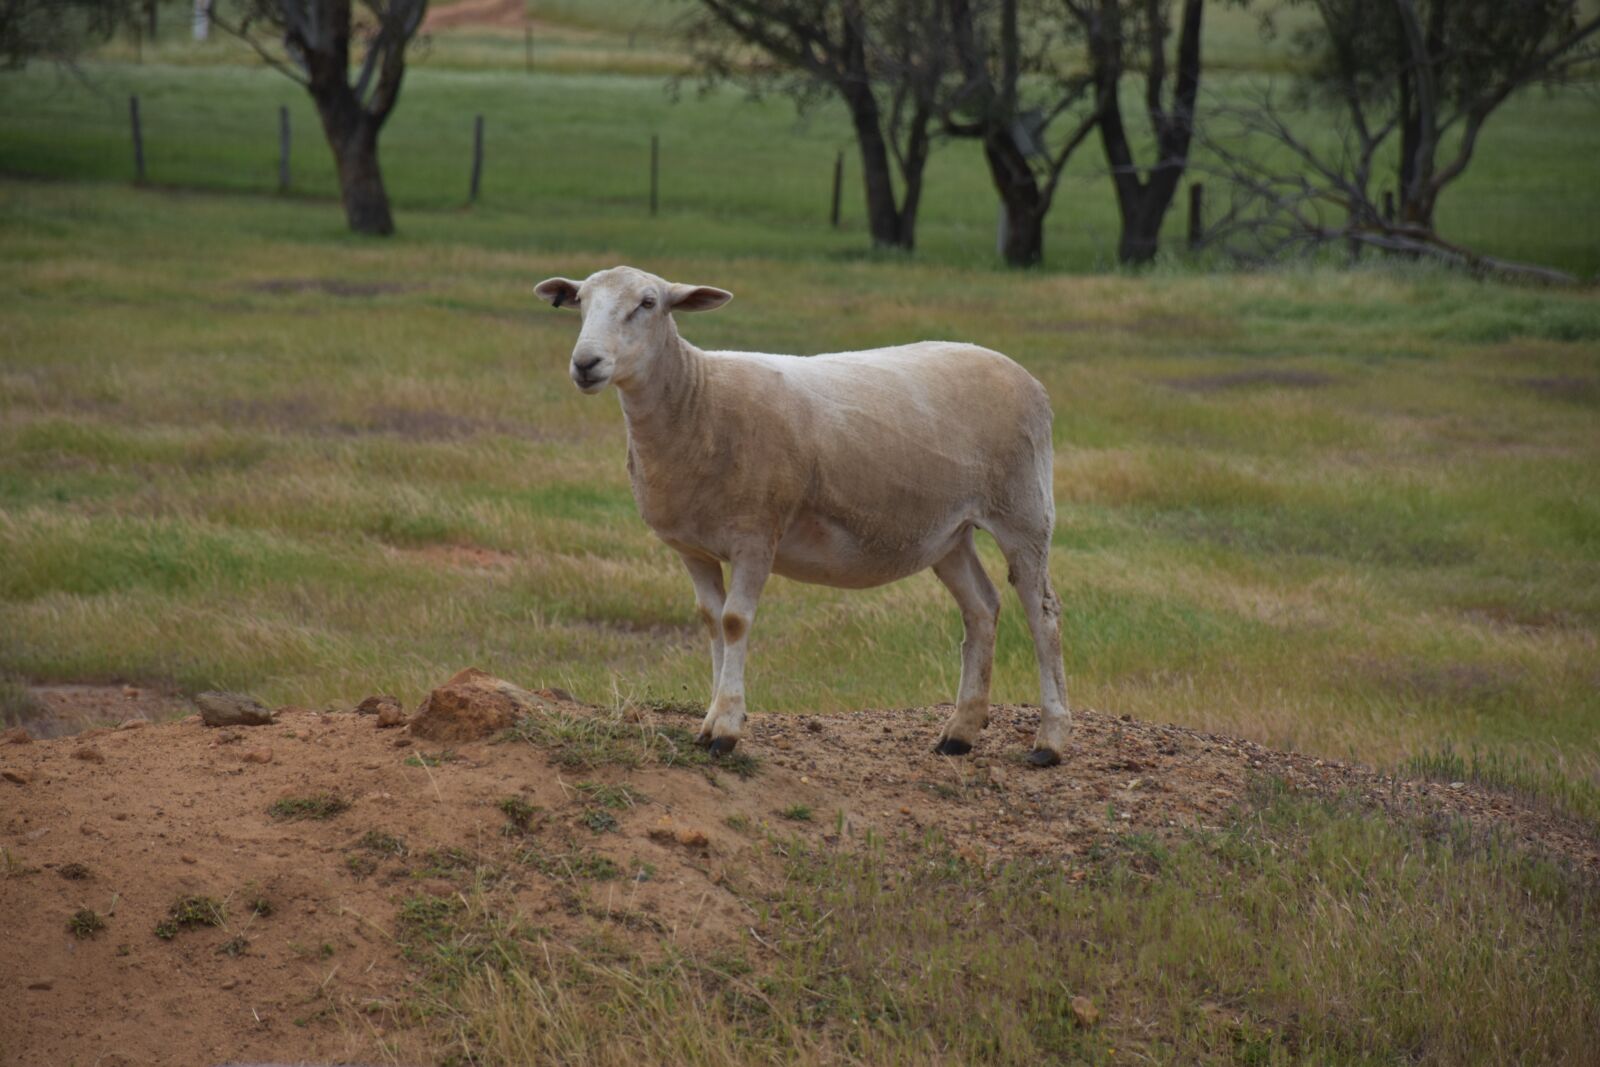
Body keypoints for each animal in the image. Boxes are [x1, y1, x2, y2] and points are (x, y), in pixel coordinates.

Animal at [535, 266, 1071, 766]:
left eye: (648, 303)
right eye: (581, 301)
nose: (585, 363)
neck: (697, 397)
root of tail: (1025, 376)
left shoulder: (756, 535)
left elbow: (734, 621)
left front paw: (727, 728)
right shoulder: (693, 548)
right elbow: (711, 621)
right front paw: (709, 722)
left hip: (1024, 508)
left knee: (1042, 613)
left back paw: (1050, 740)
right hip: (947, 532)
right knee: (981, 607)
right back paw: (960, 732)